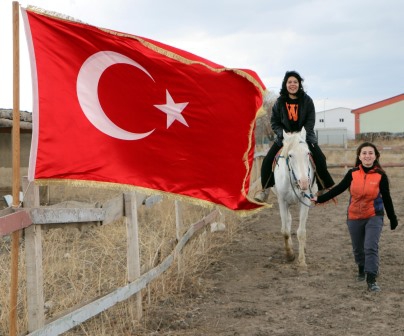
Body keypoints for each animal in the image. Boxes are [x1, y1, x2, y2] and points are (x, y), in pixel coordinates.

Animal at [274, 127, 318, 266]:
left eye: (308, 153)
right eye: (290, 155)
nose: (304, 183)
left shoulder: (305, 200)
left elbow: (301, 232)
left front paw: (302, 260)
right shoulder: (282, 201)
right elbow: (285, 231)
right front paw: (289, 255)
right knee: (287, 221)